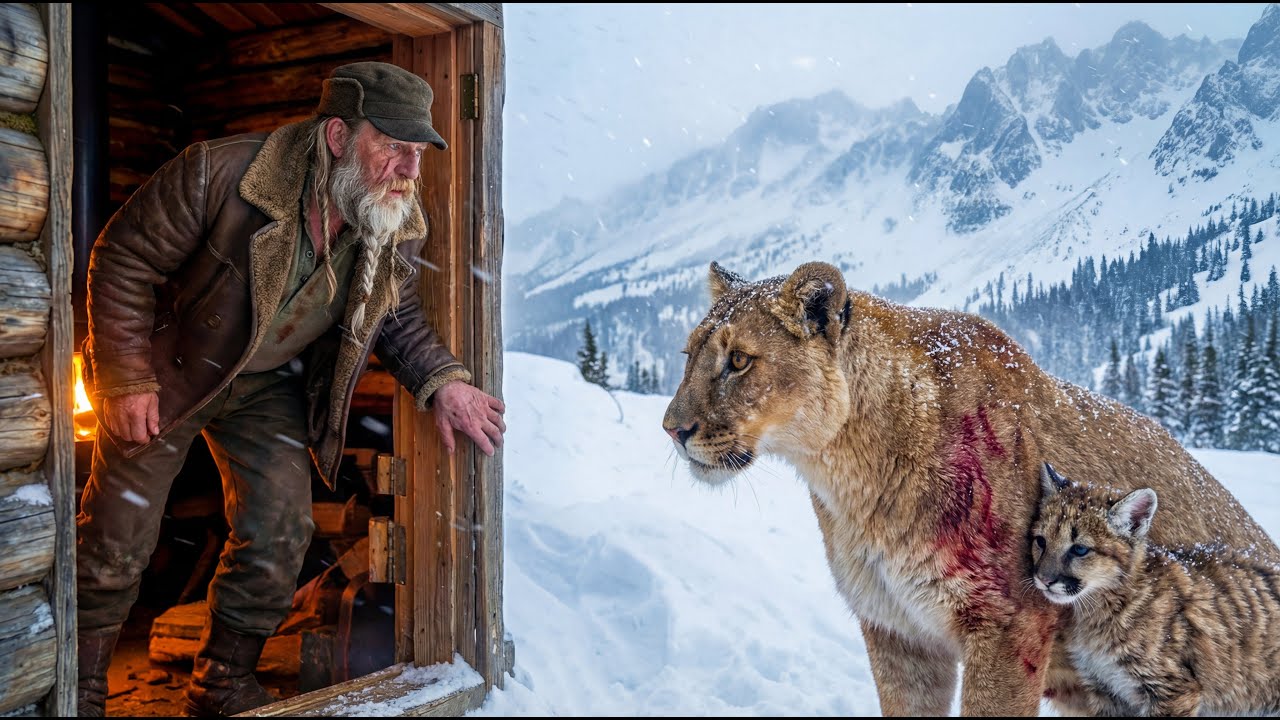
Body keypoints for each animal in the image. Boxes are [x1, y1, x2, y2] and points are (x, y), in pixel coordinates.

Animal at [662, 260, 1277, 716]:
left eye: (738, 360)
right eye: (688, 355)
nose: (672, 428)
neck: (856, 484)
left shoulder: (1007, 628)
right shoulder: (898, 632)